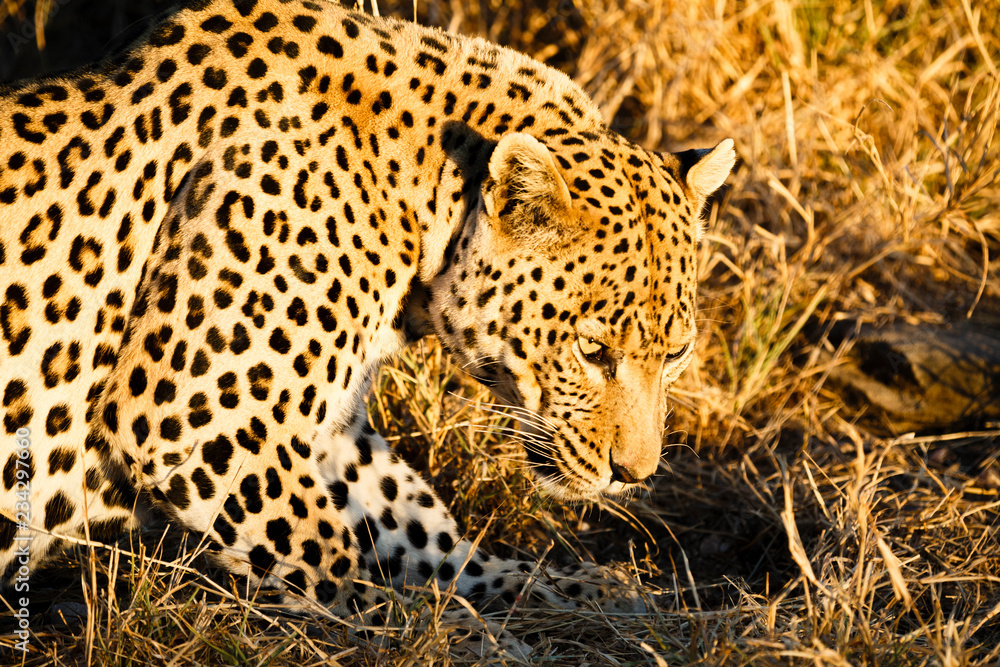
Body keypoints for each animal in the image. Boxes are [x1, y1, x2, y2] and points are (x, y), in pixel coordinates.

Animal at [0, 0, 735, 625]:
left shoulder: (330, 429)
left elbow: (414, 524)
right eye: (592, 351)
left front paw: (562, 589)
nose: (633, 477)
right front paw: (423, 627)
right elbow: (330, 556)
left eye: (675, 354)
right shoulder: (194, 415)